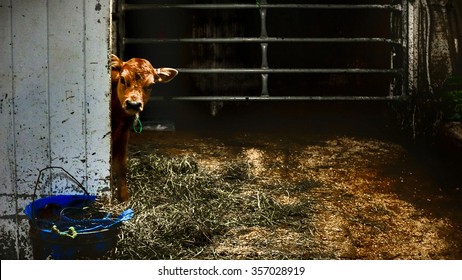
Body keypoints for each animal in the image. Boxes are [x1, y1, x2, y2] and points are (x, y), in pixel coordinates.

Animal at [111, 54, 178, 201]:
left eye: (151, 85)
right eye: (123, 79)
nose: (133, 104)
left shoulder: (123, 133)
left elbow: (121, 164)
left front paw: (124, 197)